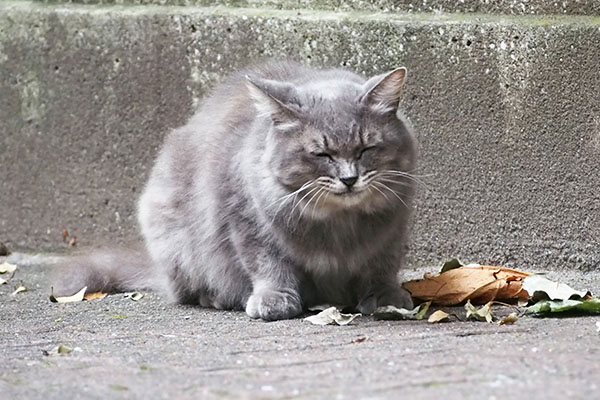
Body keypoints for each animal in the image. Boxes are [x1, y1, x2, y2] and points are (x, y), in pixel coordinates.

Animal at [55, 61, 418, 320]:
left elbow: (381, 267)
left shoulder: (391, 232)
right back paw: (216, 297)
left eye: (366, 149)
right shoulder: (246, 222)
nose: (349, 179)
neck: (338, 224)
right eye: (321, 154)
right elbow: (270, 266)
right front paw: (274, 300)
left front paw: (386, 299)